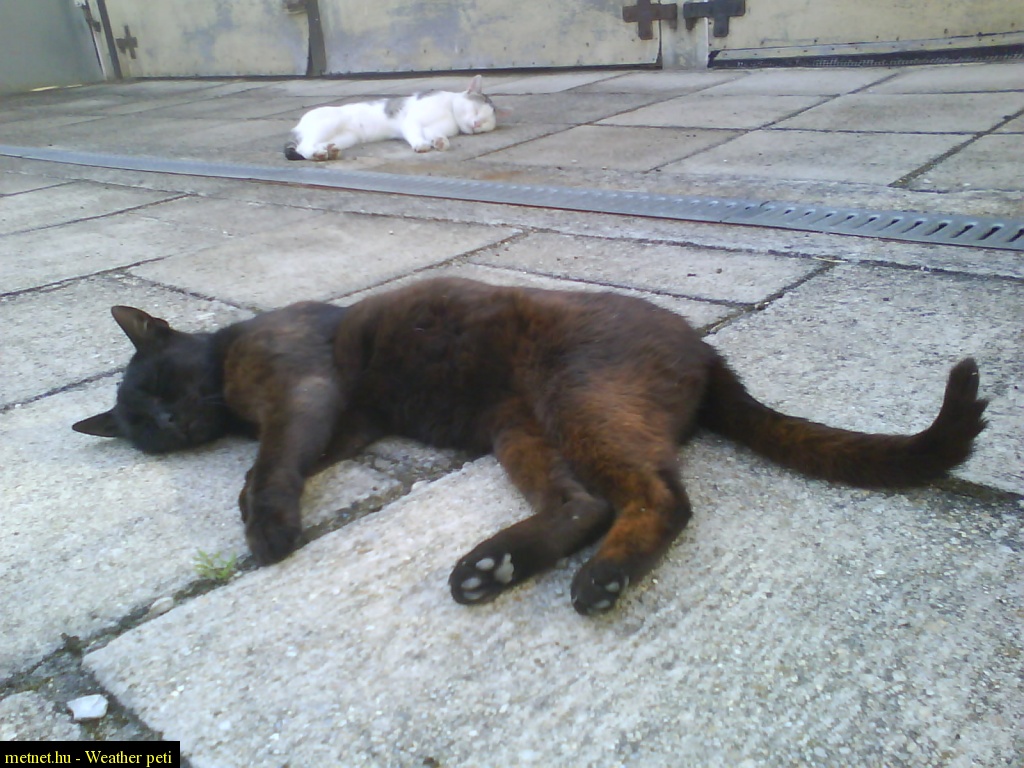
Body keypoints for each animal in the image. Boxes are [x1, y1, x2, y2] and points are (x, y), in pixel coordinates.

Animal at [73, 278, 988, 615]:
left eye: (161, 386)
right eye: (142, 426)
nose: (168, 426)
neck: (229, 376)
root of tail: (704, 349)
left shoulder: (303, 390)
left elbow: (271, 460)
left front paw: (262, 524)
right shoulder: (343, 424)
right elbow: (289, 458)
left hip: (576, 399)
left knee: (661, 496)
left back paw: (602, 579)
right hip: (522, 431)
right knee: (585, 502)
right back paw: (495, 566)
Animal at [283, 75, 499, 161]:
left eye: (486, 123)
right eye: (476, 110)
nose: (477, 123)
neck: (450, 113)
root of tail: (297, 126)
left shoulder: (433, 128)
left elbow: (435, 134)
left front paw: (439, 142)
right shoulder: (412, 122)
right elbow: (416, 134)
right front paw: (422, 145)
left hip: (345, 138)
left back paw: (328, 151)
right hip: (329, 123)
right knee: (303, 147)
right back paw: (318, 154)